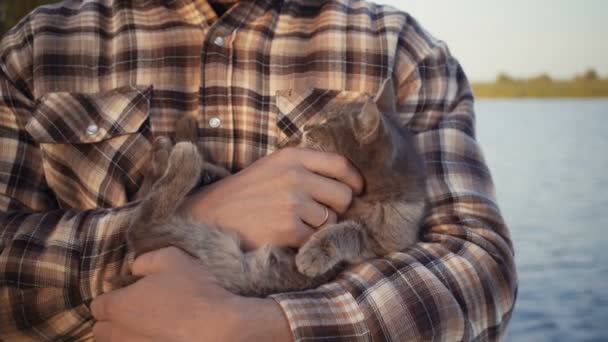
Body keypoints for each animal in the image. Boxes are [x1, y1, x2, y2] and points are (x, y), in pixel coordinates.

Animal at [115, 86, 428, 296]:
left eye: (326, 123)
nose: (306, 126)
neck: (369, 196)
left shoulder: (385, 240)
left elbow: (348, 232)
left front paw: (314, 252)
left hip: (214, 247)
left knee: (141, 226)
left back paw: (181, 156)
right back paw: (180, 151)